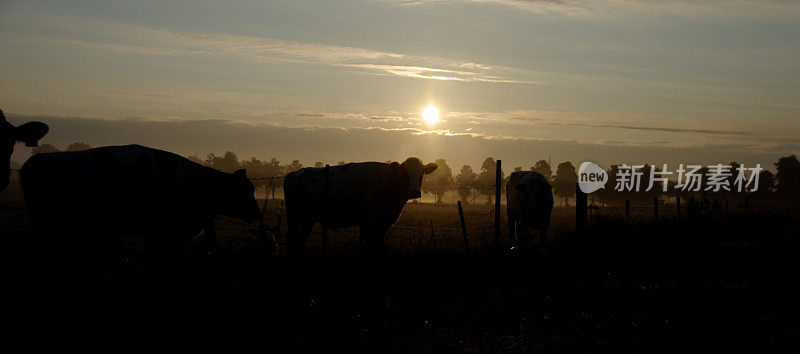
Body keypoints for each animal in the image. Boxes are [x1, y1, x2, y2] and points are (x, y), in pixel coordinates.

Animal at [18, 142, 268, 270]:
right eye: (244, 191)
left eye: (252, 190)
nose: (257, 213)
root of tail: (33, 161)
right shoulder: (169, 227)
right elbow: (161, 253)